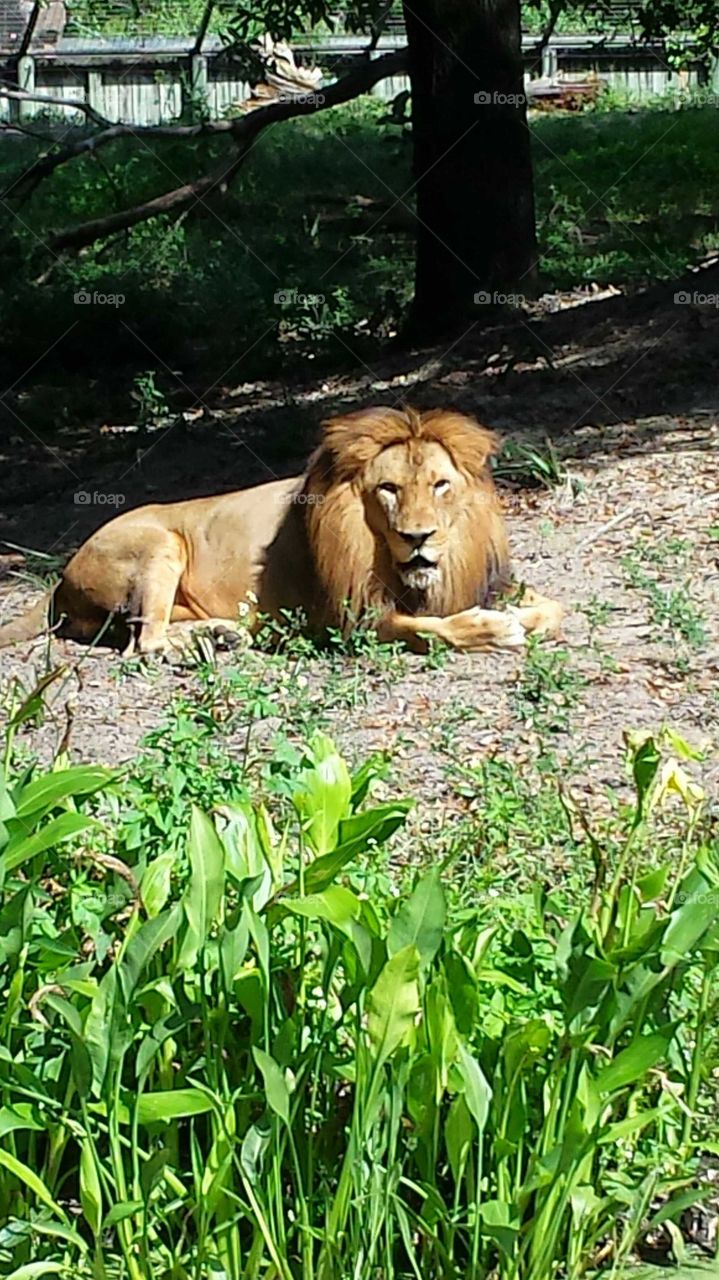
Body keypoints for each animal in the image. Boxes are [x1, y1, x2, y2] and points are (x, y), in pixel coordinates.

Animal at [0, 406, 562, 656]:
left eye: (440, 485)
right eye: (388, 489)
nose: (418, 537)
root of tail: (61, 576)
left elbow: (553, 610)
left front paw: (519, 616)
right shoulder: (344, 619)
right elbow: (429, 628)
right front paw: (493, 628)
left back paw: (222, 634)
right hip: (159, 542)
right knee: (146, 643)